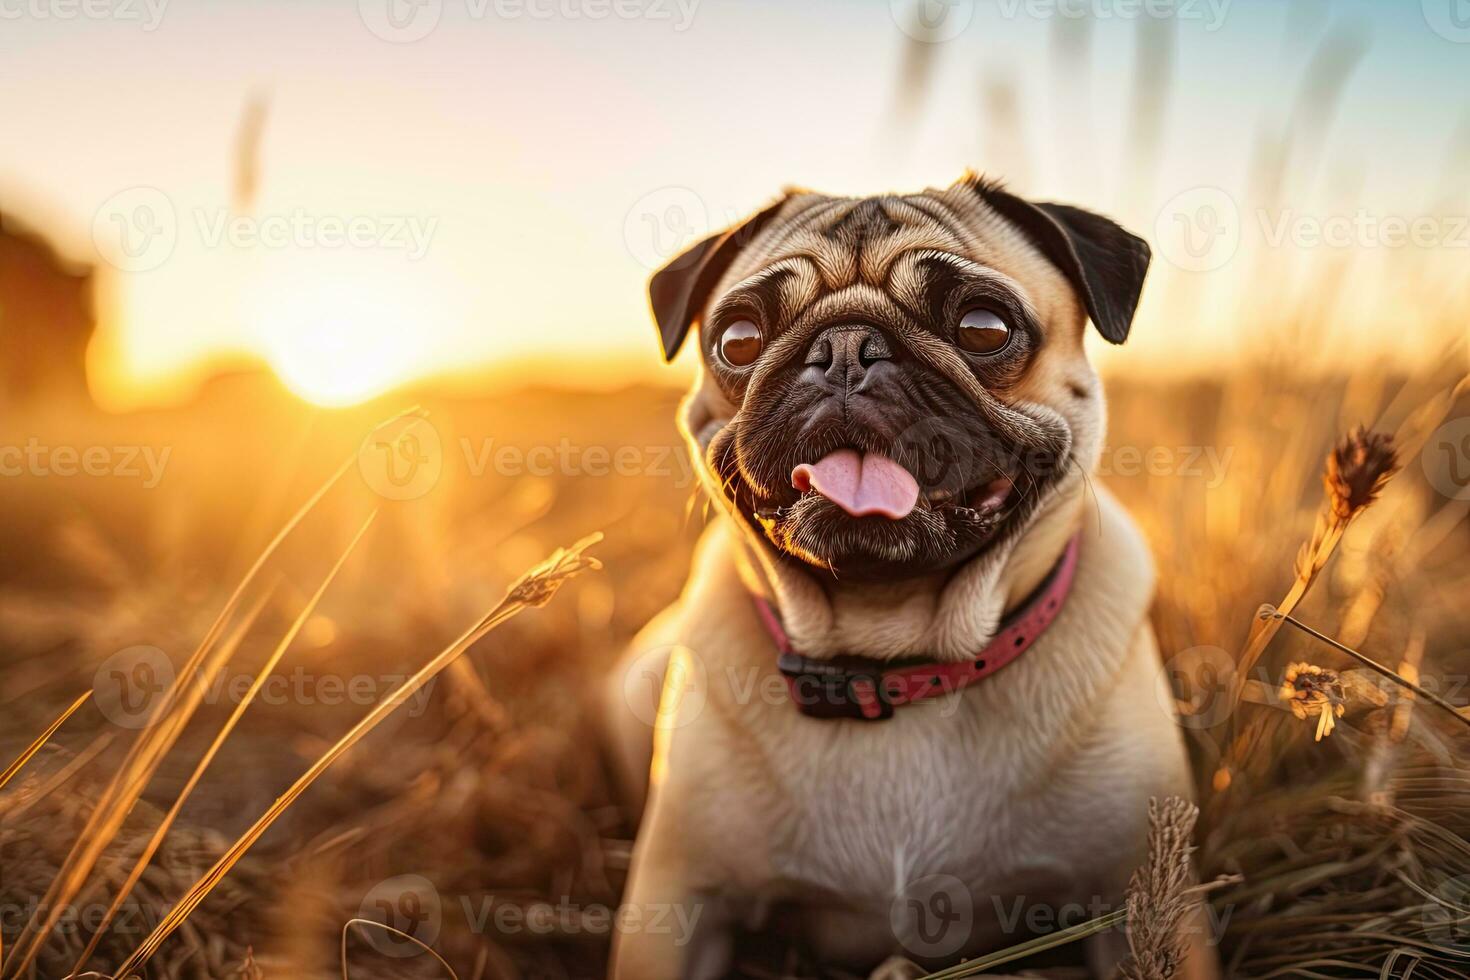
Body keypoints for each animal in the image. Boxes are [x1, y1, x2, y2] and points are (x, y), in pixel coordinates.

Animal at [602, 176, 1211, 980]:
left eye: (983, 326)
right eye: (736, 340)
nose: (845, 350)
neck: (896, 665)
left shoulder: (1152, 903)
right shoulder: (675, 906)